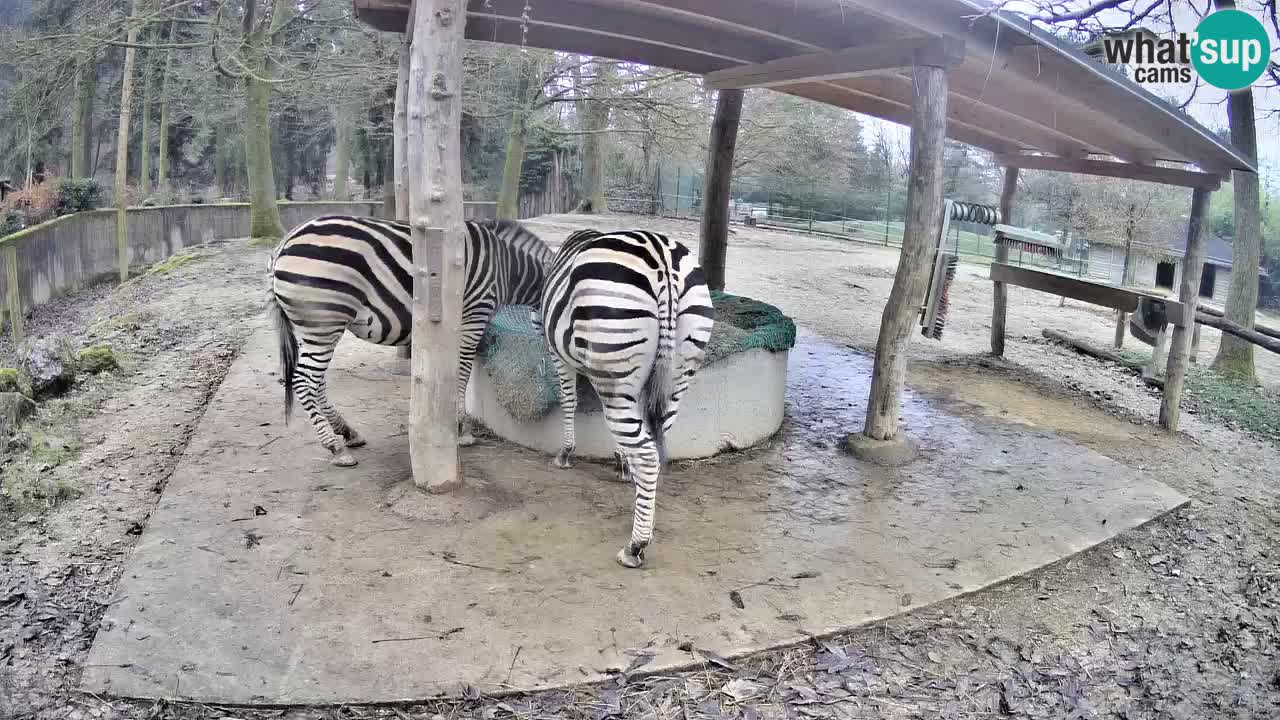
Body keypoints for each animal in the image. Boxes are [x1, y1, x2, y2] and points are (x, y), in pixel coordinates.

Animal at [267, 215, 553, 467]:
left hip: (311, 328)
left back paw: (348, 432)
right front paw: (462, 429)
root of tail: (284, 242)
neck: (507, 267)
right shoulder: (474, 315)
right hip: (324, 321)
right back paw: (335, 448)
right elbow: (462, 371)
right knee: (304, 380)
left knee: (316, 381)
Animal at [538, 228, 714, 568]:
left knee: (647, 456)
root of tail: (663, 260)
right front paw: (622, 462)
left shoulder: (559, 356)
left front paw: (566, 452)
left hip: (615, 358)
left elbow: (569, 401)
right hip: (676, 374)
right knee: (654, 444)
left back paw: (635, 546)